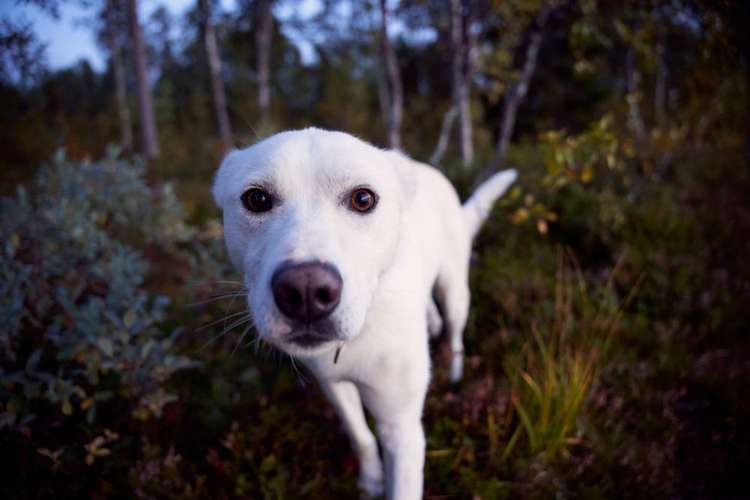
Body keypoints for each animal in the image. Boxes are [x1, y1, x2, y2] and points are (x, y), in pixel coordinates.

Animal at [212, 129, 516, 500]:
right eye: (256, 199)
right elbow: (360, 436)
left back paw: (455, 369)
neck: (362, 333)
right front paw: (371, 478)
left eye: (363, 199)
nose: (306, 291)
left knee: (455, 332)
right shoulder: (334, 385)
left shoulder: (401, 429)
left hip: (455, 289)